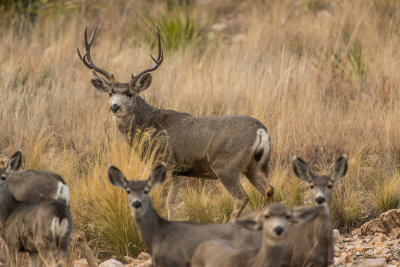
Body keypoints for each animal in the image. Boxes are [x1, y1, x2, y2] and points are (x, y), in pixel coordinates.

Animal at [78, 26, 272, 220]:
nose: (115, 107)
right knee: (269, 189)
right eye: (110, 92)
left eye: (129, 93)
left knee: (241, 197)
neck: (149, 124)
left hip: (226, 165)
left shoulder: (164, 160)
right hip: (256, 165)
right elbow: (171, 202)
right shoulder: (179, 170)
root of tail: (261, 131)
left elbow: (163, 200)